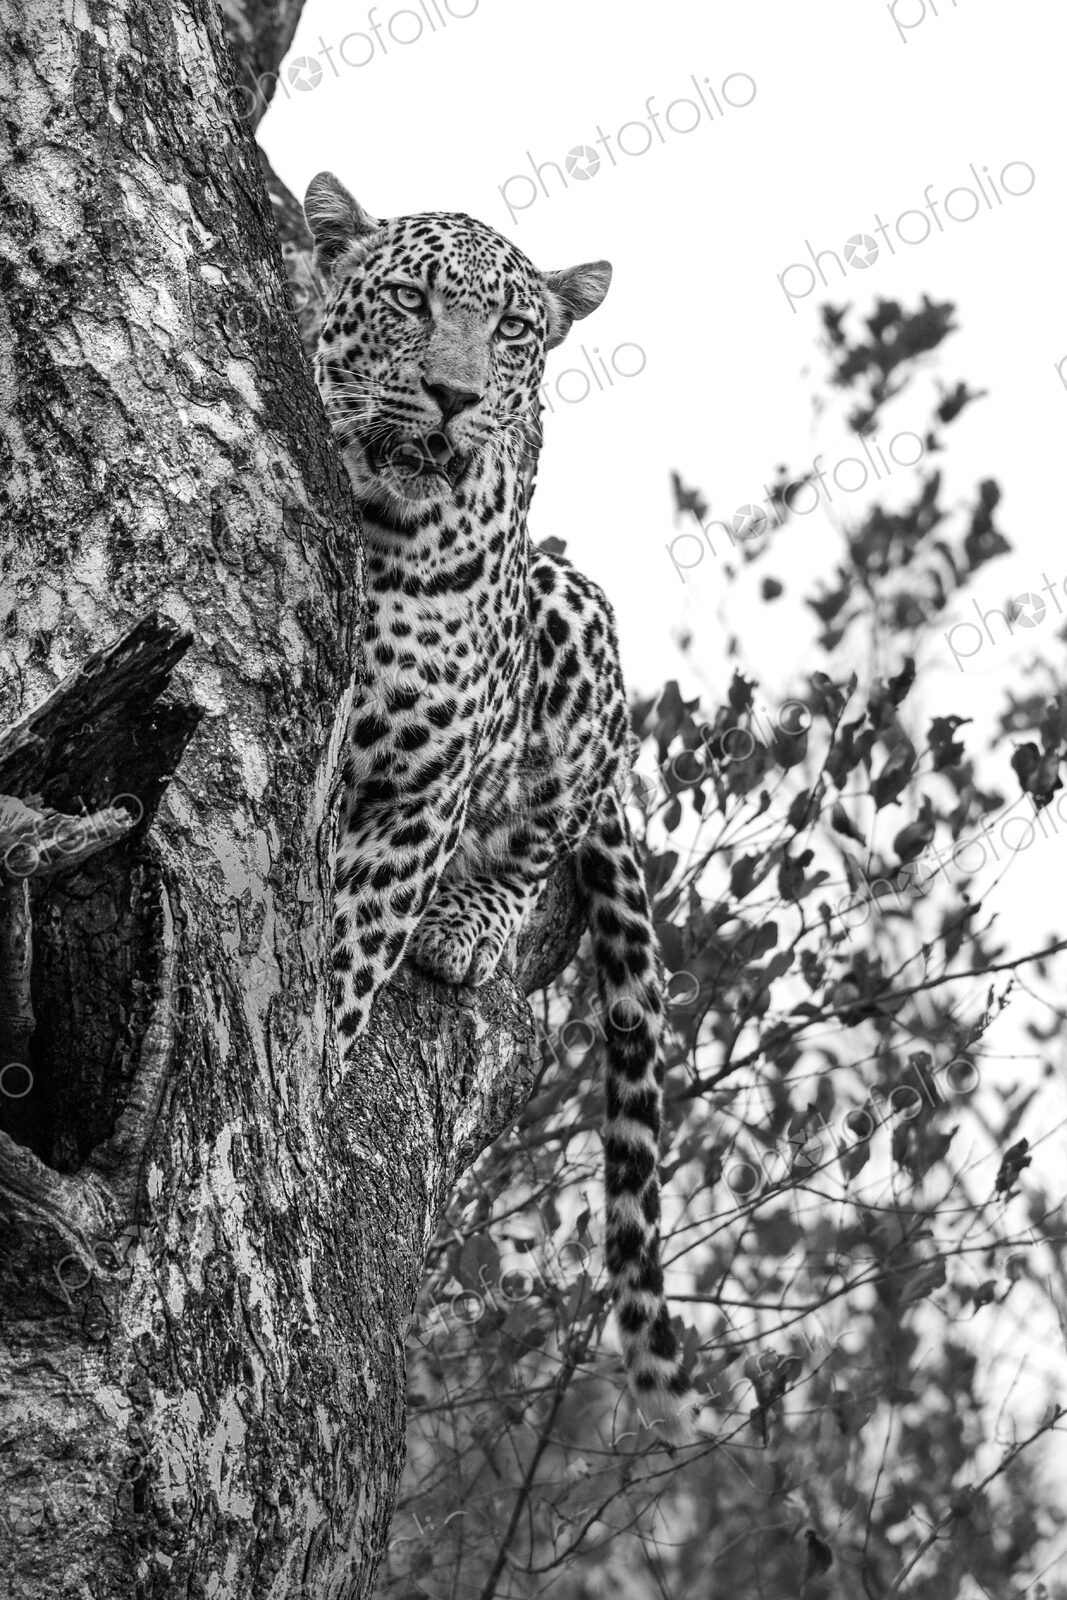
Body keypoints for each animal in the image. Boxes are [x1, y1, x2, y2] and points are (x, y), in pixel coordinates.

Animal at [303, 172, 693, 1431]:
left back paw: (468, 929)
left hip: (575, 624)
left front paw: (307, 1081)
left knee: (544, 833)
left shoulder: (418, 796)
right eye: (410, 302)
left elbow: (347, 957)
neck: (386, 524)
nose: (453, 396)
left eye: (515, 330)